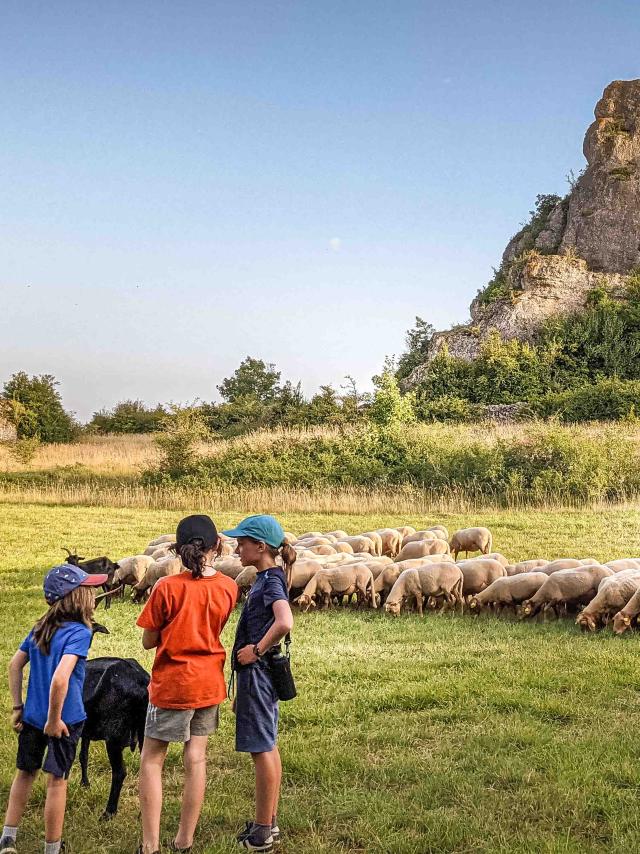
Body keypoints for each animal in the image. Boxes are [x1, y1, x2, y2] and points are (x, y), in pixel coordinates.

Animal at [79, 660, 149, 820]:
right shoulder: (85, 732)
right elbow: (83, 756)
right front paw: (84, 784)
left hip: (113, 740)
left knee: (119, 773)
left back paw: (108, 812)